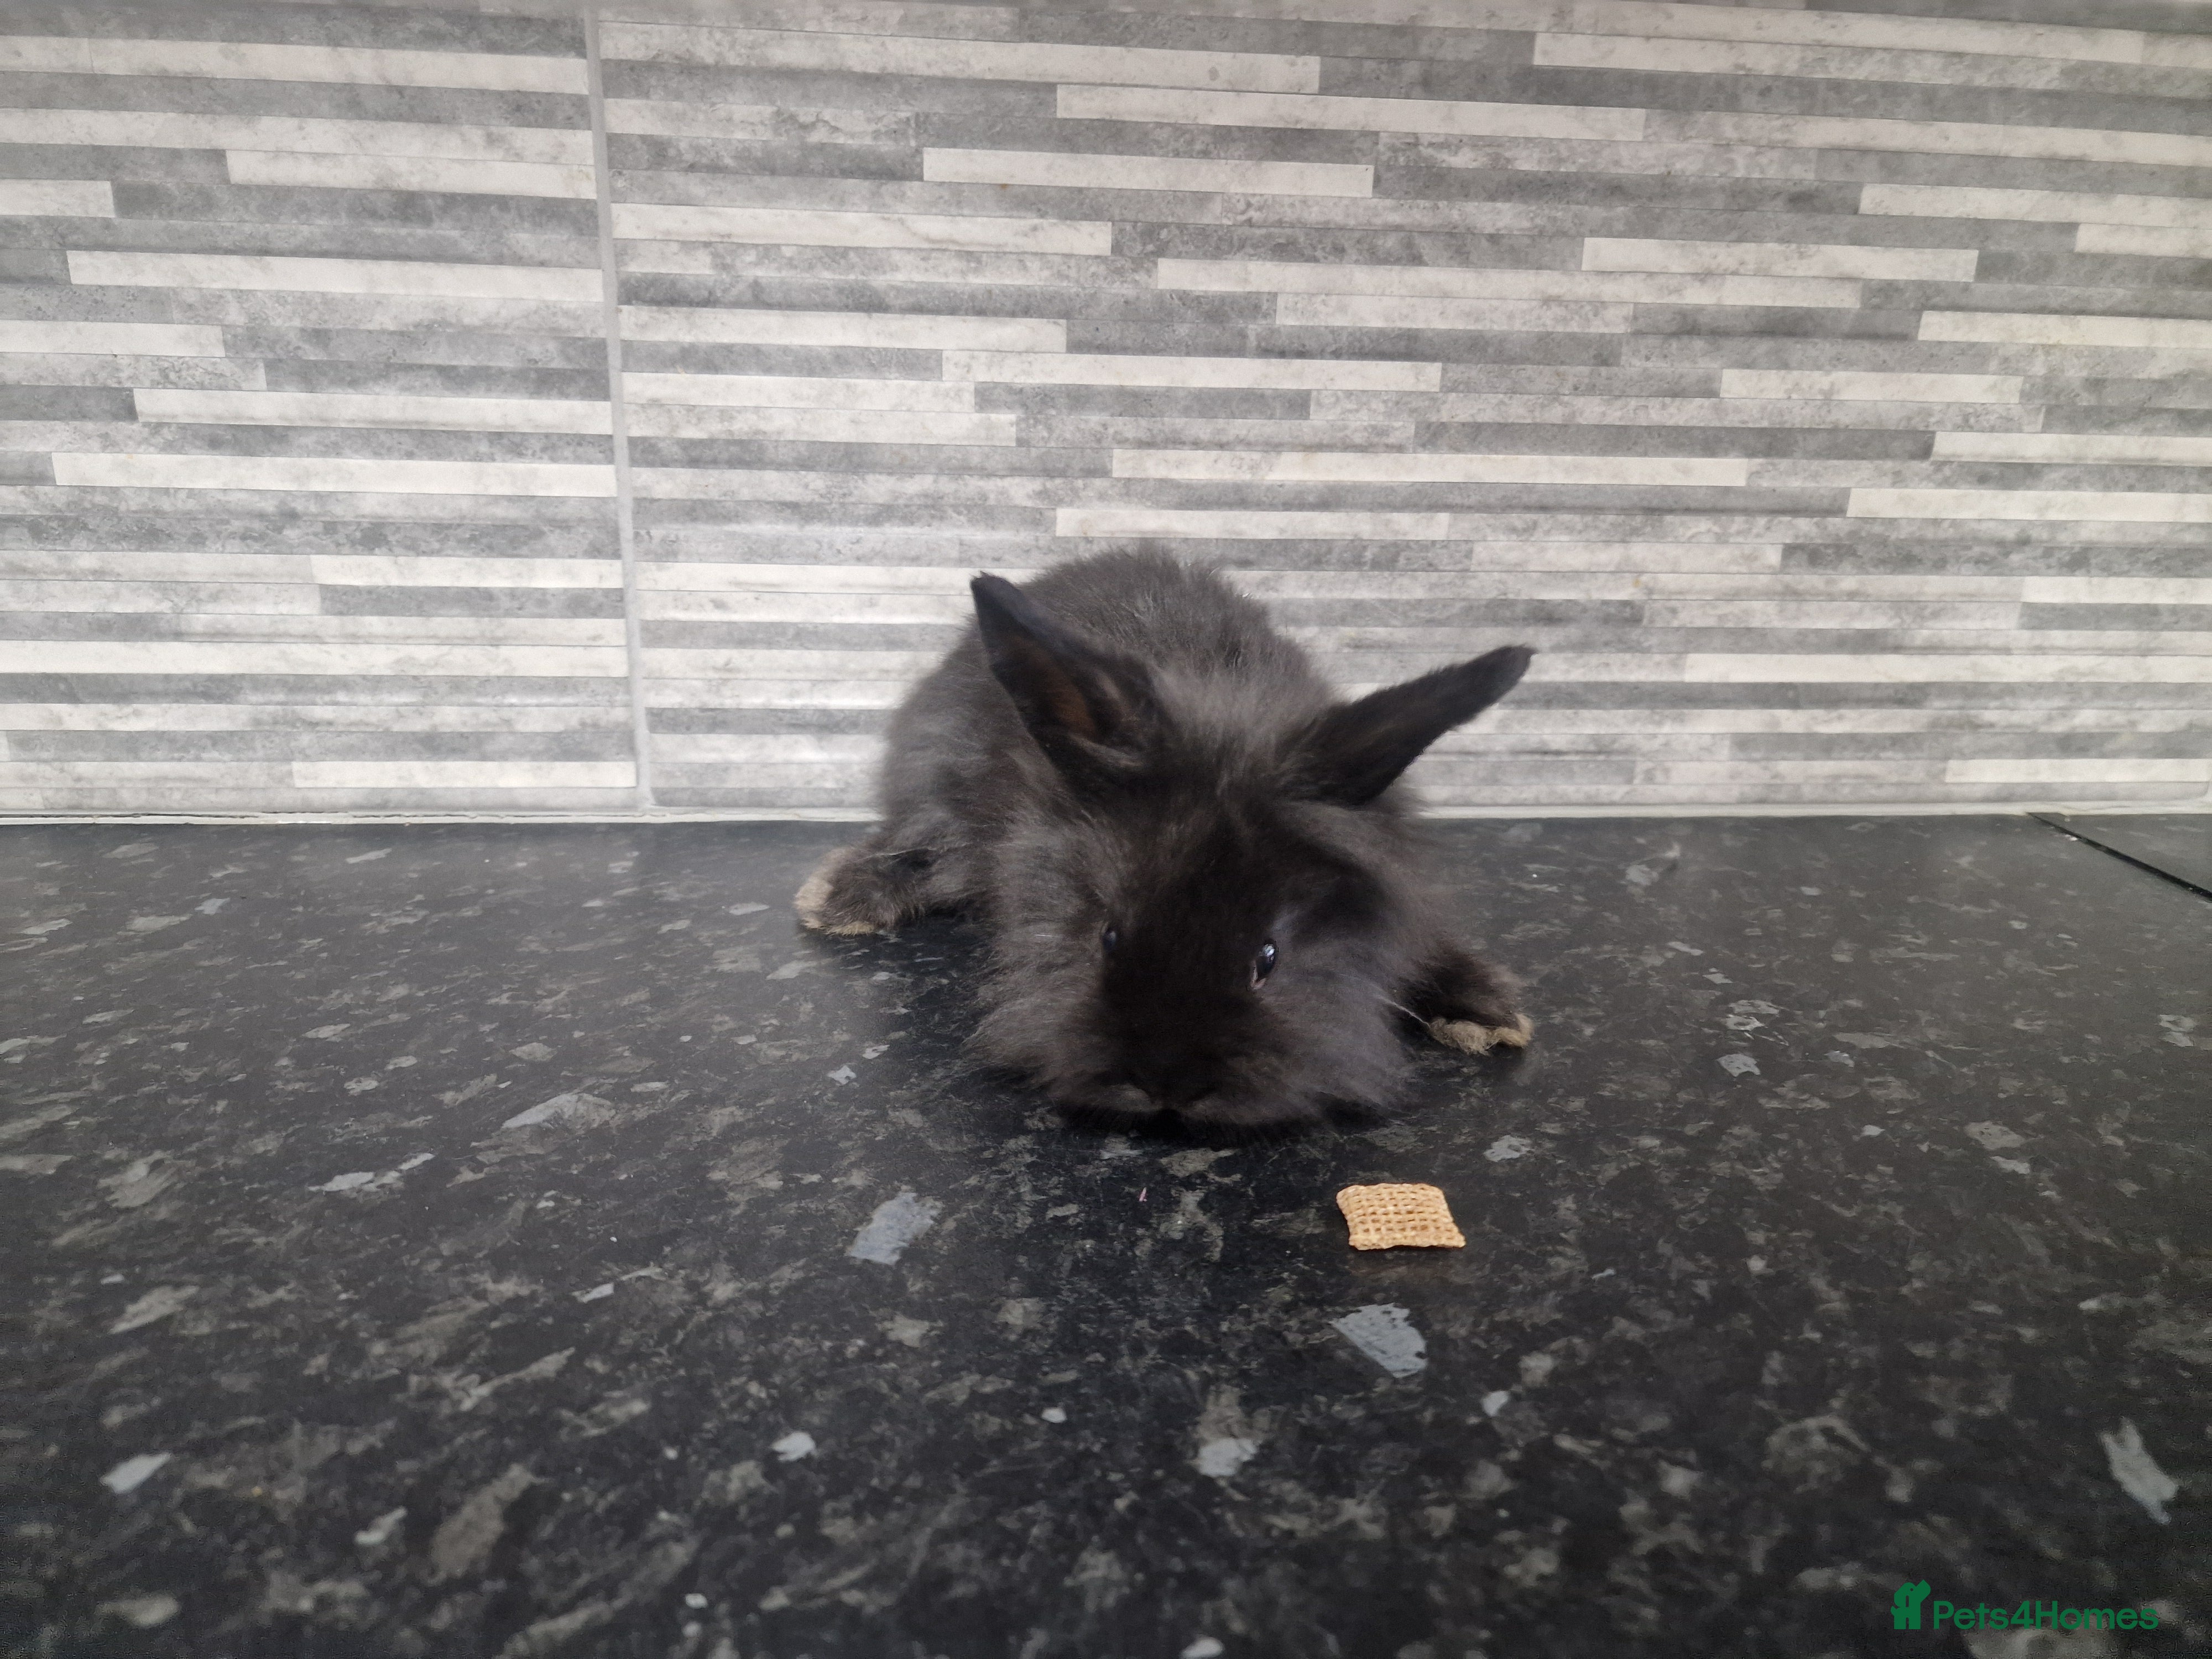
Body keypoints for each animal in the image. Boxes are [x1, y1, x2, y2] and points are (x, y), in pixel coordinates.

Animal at [794, 548, 1535, 1135]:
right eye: (1108, 938)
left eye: (1267, 958)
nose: (1167, 1084)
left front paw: (1484, 1008)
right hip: (939, 771)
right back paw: (839, 897)